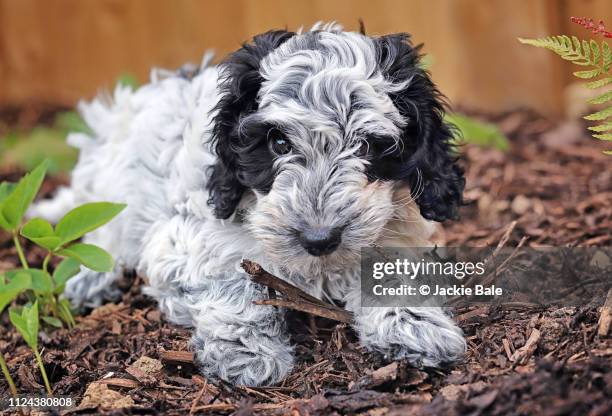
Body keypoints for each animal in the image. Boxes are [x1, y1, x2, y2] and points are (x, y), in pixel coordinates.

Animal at [32, 22, 464, 386]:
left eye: (366, 146)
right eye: (279, 144)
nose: (319, 239)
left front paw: (415, 324)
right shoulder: (187, 236)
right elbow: (231, 279)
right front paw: (247, 354)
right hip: (112, 181)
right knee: (101, 231)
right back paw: (91, 280)